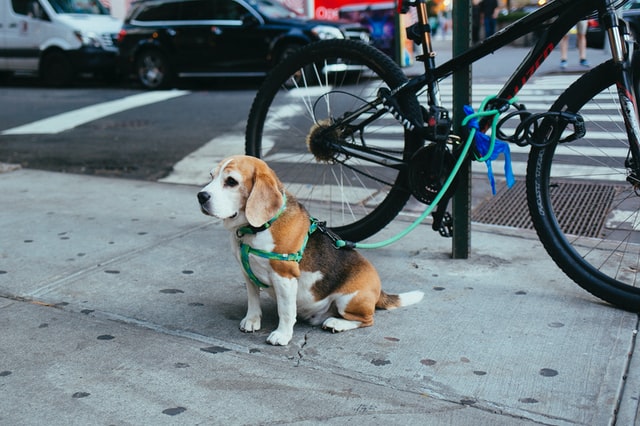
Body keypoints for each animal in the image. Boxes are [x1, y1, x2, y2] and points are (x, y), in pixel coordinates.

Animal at [198, 155, 422, 344]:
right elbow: (253, 300)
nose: (201, 196)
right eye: (211, 176)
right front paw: (252, 320)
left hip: (348, 300)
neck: (255, 229)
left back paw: (336, 323)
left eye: (231, 181)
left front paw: (282, 335)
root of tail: (379, 290)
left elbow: (286, 310)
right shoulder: (247, 273)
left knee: (368, 320)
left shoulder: (284, 277)